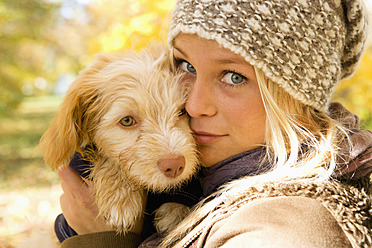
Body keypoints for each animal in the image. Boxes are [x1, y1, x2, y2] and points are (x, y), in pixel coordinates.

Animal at [38, 43, 199, 235]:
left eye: (181, 112)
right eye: (127, 121)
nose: (174, 166)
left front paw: (175, 209)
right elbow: (109, 159)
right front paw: (120, 198)